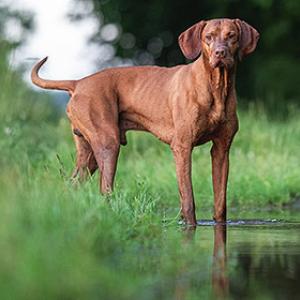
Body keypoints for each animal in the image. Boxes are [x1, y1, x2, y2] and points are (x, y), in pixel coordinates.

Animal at [31, 18, 258, 225]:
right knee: (104, 189)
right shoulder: (182, 147)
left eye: (231, 36)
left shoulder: (221, 150)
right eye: (208, 37)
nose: (220, 53)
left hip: (89, 155)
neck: (217, 87)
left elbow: (220, 203)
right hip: (108, 143)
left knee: (72, 185)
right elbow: (188, 200)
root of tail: (78, 83)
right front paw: (189, 226)